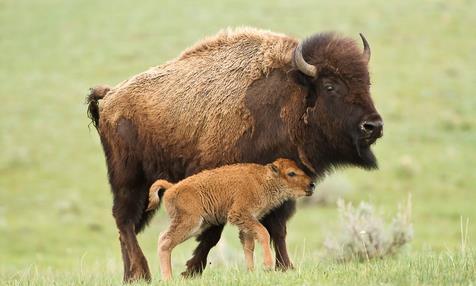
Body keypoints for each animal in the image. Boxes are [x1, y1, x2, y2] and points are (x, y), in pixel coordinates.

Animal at [147, 159, 314, 282]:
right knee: (165, 242)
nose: (311, 184)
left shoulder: (248, 222)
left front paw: (251, 272)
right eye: (291, 173)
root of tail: (172, 187)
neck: (263, 179)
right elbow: (264, 233)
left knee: (162, 237)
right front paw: (267, 266)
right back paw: (168, 279)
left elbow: (248, 246)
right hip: (190, 223)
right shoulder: (239, 214)